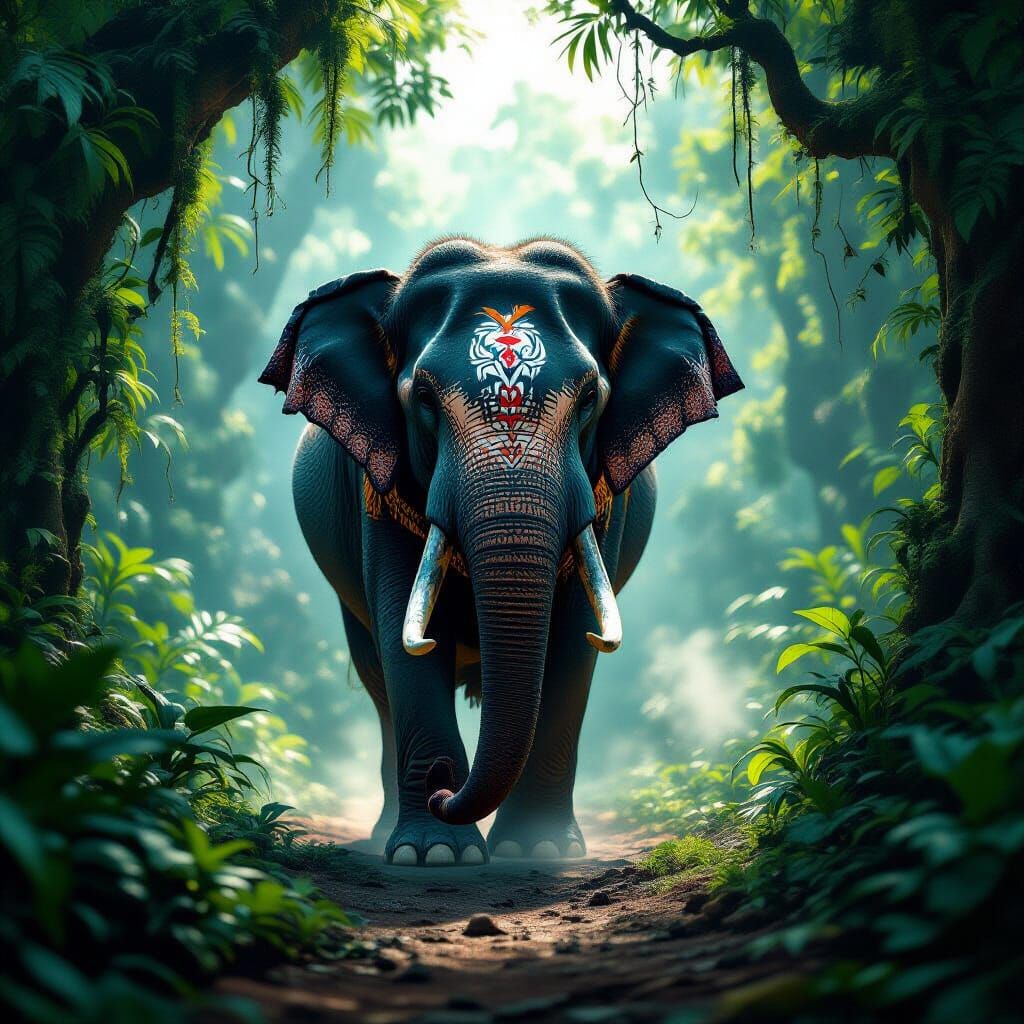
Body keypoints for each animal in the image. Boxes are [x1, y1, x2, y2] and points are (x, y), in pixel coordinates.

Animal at [260, 237, 742, 866]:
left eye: (590, 398)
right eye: (422, 397)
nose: (442, 789)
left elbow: (575, 639)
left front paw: (539, 850)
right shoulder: (375, 481)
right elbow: (401, 630)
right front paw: (434, 856)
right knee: (377, 675)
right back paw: (386, 833)